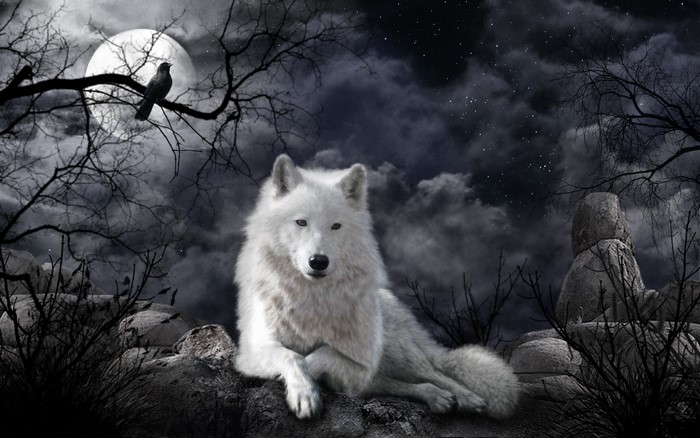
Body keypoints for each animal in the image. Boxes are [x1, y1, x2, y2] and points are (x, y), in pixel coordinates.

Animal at [235, 154, 519, 420]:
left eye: (336, 226)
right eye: (301, 222)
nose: (318, 262)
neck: (312, 298)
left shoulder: (362, 362)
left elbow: (321, 354)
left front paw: (309, 384)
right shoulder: (252, 351)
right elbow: (291, 356)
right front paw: (304, 394)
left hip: (399, 352)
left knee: (436, 373)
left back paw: (468, 398)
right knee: (401, 384)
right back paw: (437, 397)